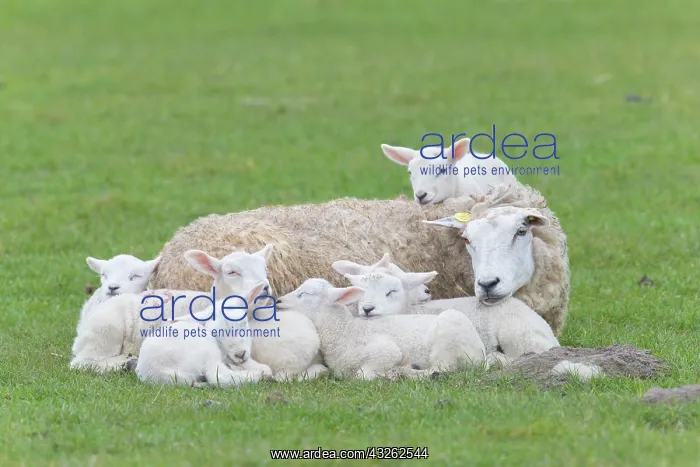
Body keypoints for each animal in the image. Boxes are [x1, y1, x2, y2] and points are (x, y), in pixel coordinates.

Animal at [69, 246, 273, 372]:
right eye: (232, 272)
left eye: (265, 268)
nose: (264, 287)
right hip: (104, 334)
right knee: (82, 363)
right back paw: (124, 361)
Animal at [136, 282, 274, 387]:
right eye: (215, 333)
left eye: (244, 322)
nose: (240, 354)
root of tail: (159, 373)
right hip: (206, 353)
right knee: (218, 377)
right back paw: (256, 374)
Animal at [276, 278, 487, 379]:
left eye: (305, 294)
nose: (278, 301)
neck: (346, 331)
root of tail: (482, 353)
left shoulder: (385, 351)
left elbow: (363, 375)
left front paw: (390, 375)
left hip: (448, 336)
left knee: (442, 368)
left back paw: (407, 372)